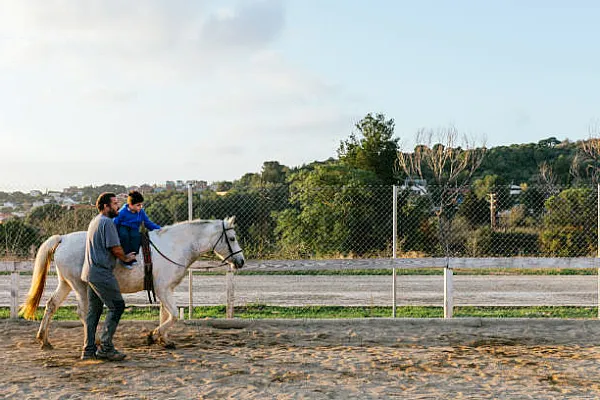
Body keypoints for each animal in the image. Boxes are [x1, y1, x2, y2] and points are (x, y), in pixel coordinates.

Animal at [19, 217, 244, 348]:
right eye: (232, 238)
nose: (241, 261)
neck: (174, 246)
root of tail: (63, 239)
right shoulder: (163, 289)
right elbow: (172, 315)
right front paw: (154, 335)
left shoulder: (165, 290)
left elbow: (166, 315)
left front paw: (164, 339)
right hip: (79, 286)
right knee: (83, 312)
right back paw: (97, 340)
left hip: (66, 283)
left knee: (51, 305)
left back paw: (44, 339)